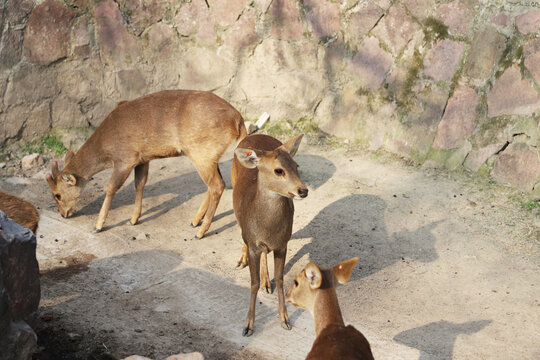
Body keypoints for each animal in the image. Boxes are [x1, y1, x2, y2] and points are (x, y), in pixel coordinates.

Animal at [44, 89, 247, 238]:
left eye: (57, 195)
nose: (63, 214)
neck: (106, 146)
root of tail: (238, 120)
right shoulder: (143, 158)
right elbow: (140, 184)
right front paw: (134, 219)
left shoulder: (125, 159)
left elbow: (110, 188)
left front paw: (98, 225)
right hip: (209, 156)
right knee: (215, 184)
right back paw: (194, 221)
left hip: (201, 152)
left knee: (217, 185)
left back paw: (200, 231)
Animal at [231, 134, 308, 336]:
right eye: (278, 170)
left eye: (296, 165)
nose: (303, 190)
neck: (267, 229)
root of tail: (255, 135)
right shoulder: (253, 244)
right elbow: (253, 283)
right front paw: (248, 326)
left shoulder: (283, 244)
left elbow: (280, 280)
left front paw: (285, 320)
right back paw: (241, 261)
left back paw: (267, 283)